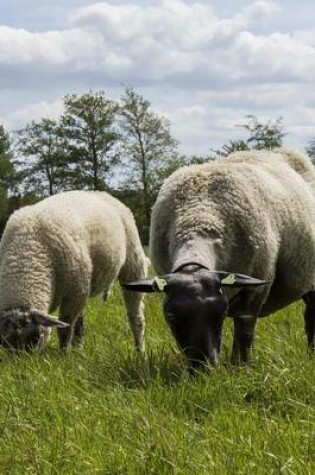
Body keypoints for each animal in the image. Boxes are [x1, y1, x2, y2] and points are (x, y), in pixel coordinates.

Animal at [0, 192, 149, 352]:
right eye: (3, 343)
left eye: (36, 337)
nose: (23, 358)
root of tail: (99, 193)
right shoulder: (77, 292)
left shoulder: (74, 294)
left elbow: (65, 329)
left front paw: (63, 353)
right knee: (80, 323)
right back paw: (79, 350)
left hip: (132, 265)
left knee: (136, 318)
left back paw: (140, 351)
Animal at [124, 149, 315, 372]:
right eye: (171, 316)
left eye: (222, 314)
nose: (202, 369)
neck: (198, 217)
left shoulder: (256, 287)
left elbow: (244, 333)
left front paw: (239, 367)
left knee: (311, 317)